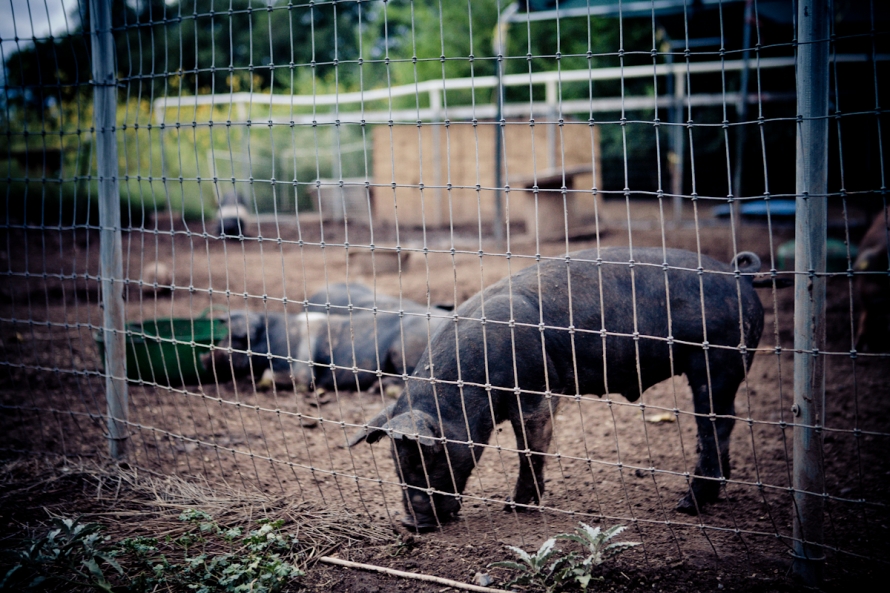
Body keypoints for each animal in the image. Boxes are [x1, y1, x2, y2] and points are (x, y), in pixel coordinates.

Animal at [346, 243, 764, 528]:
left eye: (425, 456)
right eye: (395, 460)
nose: (411, 524)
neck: (471, 388)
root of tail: (739, 275)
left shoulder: (536, 390)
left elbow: (530, 448)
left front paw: (514, 507)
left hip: (718, 360)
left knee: (717, 423)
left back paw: (687, 505)